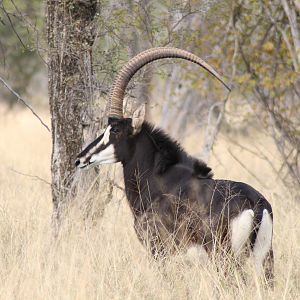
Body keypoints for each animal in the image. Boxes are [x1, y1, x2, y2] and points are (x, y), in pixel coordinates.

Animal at [75, 48, 274, 282]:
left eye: (114, 130)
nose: (80, 159)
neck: (160, 181)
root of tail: (255, 204)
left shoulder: (160, 251)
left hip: (224, 259)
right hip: (265, 259)